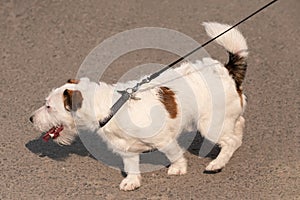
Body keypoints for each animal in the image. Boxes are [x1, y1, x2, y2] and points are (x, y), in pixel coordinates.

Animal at [29, 21, 248, 191]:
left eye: (48, 107)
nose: (30, 119)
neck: (111, 108)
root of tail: (226, 70)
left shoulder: (164, 140)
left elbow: (174, 154)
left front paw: (178, 168)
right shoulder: (127, 151)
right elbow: (131, 166)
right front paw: (132, 181)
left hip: (209, 124)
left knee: (230, 141)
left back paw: (217, 163)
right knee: (238, 127)